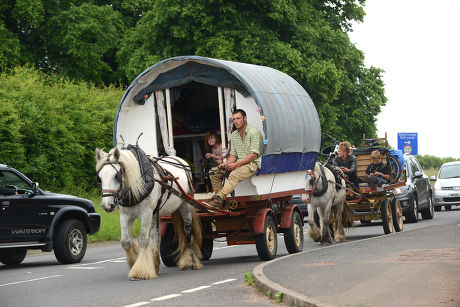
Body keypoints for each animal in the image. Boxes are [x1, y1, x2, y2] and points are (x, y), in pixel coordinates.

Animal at [96, 148, 202, 280]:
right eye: (99, 178)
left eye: (116, 176)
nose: (106, 205)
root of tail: (179, 160)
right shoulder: (126, 216)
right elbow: (125, 241)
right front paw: (134, 262)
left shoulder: (146, 214)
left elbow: (142, 240)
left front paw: (141, 270)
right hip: (155, 214)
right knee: (155, 236)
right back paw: (155, 264)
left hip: (185, 206)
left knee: (187, 232)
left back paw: (190, 261)